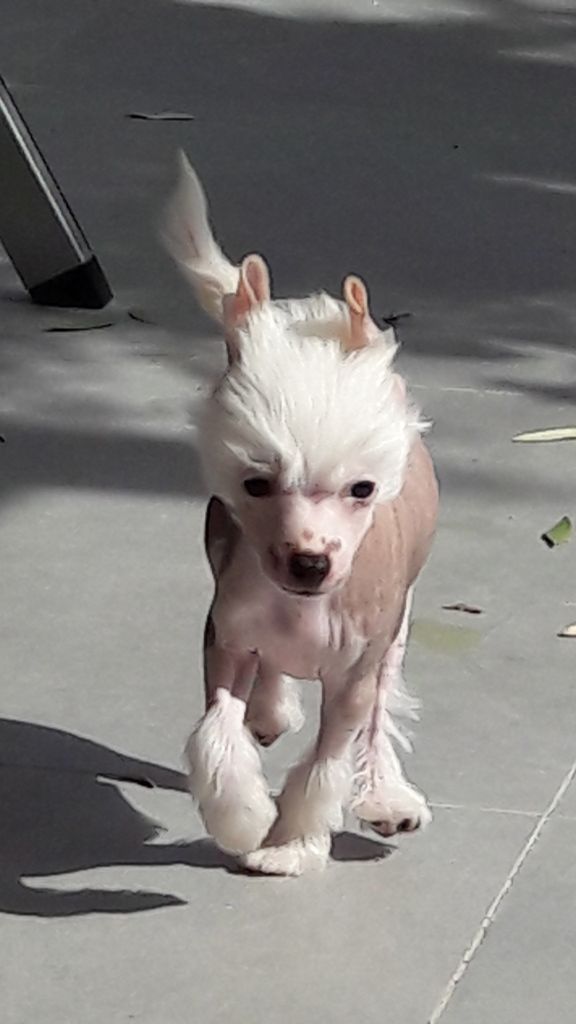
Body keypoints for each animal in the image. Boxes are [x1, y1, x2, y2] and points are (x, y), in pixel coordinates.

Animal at [163, 155, 438, 876]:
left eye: (363, 488)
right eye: (255, 484)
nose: (309, 561)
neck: (301, 609)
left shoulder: (355, 674)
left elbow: (328, 760)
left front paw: (289, 843)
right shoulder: (226, 636)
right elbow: (217, 731)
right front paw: (245, 818)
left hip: (398, 626)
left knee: (381, 707)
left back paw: (386, 795)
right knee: (269, 680)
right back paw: (270, 710)